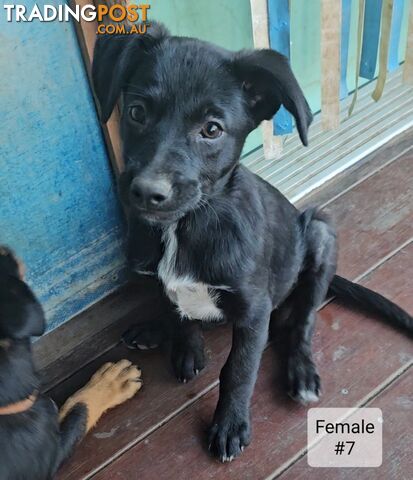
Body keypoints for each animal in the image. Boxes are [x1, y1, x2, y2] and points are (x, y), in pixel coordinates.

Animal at [92, 25, 412, 462]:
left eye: (212, 129)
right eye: (137, 112)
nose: (146, 193)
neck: (186, 227)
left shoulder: (254, 310)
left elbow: (239, 370)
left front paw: (229, 425)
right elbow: (176, 309)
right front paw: (185, 345)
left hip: (320, 233)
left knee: (302, 322)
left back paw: (301, 371)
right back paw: (153, 331)